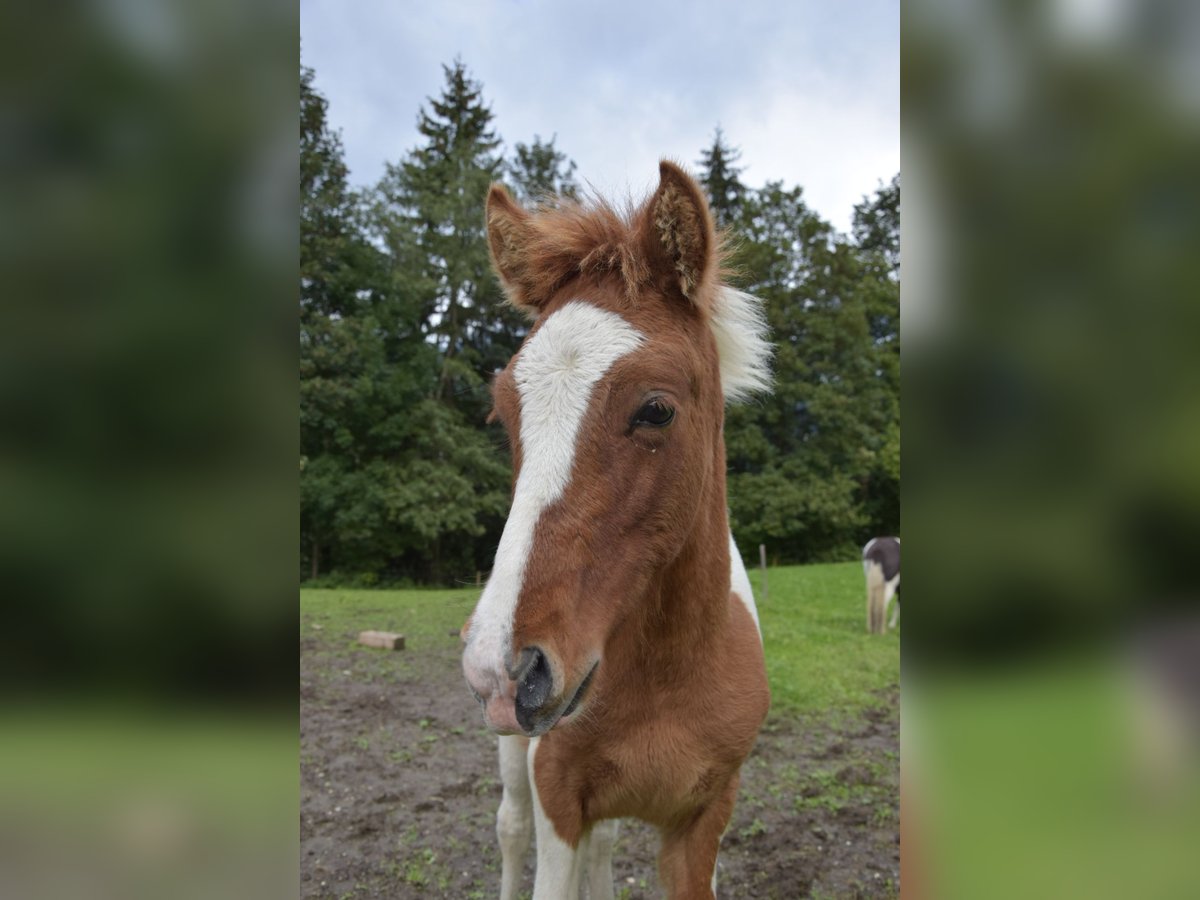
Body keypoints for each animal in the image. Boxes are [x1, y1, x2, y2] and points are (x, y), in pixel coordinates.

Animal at [458, 164, 777, 900]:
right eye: (502, 413)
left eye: (656, 409)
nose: (505, 668)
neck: (665, 676)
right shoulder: (555, 796)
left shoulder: (704, 819)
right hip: (513, 753)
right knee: (508, 829)